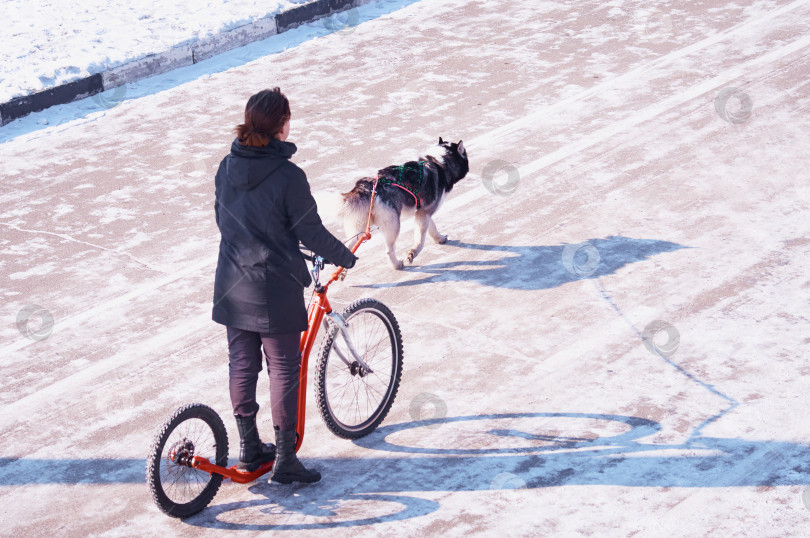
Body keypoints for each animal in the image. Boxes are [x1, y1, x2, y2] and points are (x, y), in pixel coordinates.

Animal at [340, 138, 468, 268]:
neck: (438, 163)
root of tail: (368, 187)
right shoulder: (424, 213)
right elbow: (420, 240)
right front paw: (413, 253)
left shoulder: (423, 211)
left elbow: (432, 227)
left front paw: (439, 238)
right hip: (394, 225)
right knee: (389, 250)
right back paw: (397, 265)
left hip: (359, 231)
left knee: (347, 246)